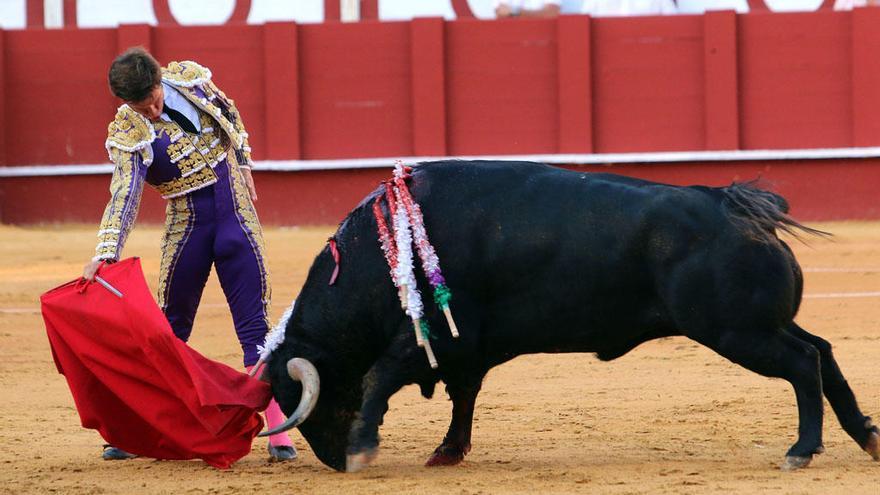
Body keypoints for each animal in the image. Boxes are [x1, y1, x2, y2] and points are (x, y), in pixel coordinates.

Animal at [264, 162, 876, 472]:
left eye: (300, 399)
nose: (336, 462)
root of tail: (731, 203)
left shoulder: (433, 336)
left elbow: (380, 376)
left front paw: (365, 445)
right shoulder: (467, 351)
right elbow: (463, 395)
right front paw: (448, 451)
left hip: (737, 331)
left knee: (803, 362)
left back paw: (802, 450)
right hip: (759, 324)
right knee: (822, 351)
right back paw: (866, 436)